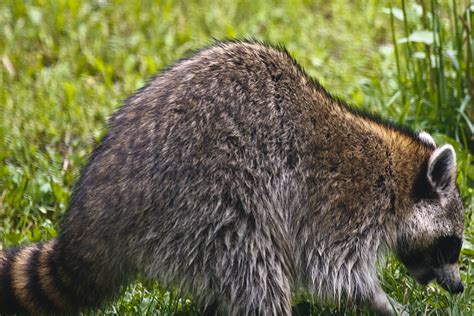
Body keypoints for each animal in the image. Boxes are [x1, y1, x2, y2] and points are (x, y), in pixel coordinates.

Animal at [0, 40, 464, 314]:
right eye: (452, 244)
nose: (460, 287)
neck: (400, 175)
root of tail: (100, 194)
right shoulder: (343, 202)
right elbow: (332, 270)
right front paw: (381, 302)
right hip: (203, 201)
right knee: (256, 264)